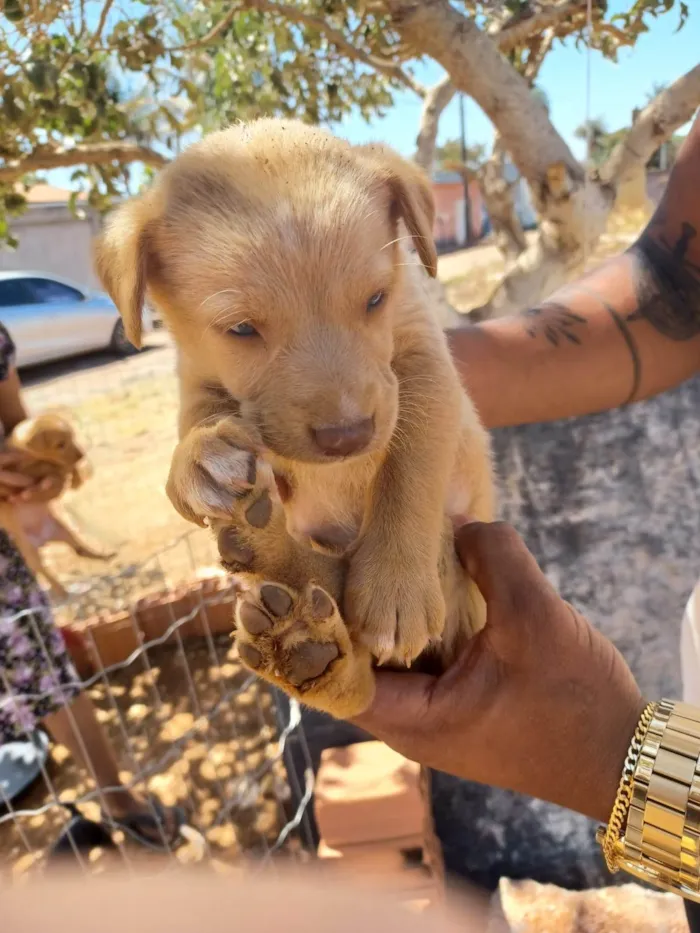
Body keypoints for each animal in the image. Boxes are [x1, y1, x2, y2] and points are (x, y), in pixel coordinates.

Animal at [0, 416, 115, 596]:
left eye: (73, 437)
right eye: (60, 444)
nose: (81, 456)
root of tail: (42, 541)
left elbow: (63, 467)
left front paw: (75, 479)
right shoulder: (21, 470)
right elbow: (51, 467)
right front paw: (61, 473)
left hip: (65, 531)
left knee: (79, 550)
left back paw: (103, 555)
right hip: (30, 554)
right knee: (46, 573)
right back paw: (62, 592)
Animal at [95, 120, 494, 716]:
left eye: (376, 298)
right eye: (240, 329)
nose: (349, 436)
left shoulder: (426, 370)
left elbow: (409, 469)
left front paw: (396, 588)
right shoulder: (198, 374)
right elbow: (196, 416)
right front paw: (198, 459)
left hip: (460, 589)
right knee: (353, 676)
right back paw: (291, 610)